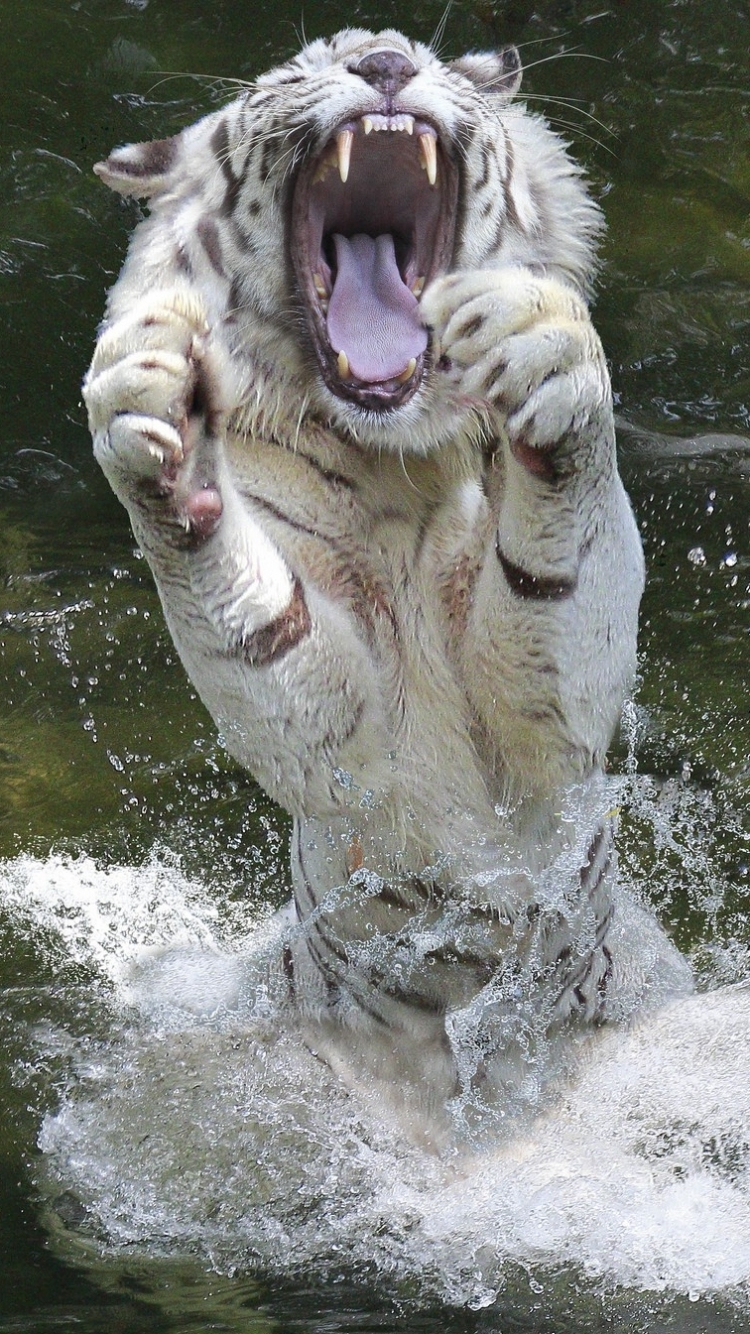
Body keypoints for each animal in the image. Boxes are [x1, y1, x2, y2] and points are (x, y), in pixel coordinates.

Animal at [83, 28, 691, 1144]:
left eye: (423, 54)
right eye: (300, 69)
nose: (381, 61)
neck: (397, 456)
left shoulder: (556, 730)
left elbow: (565, 580)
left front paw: (544, 357)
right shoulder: (343, 741)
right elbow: (265, 640)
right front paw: (159, 419)